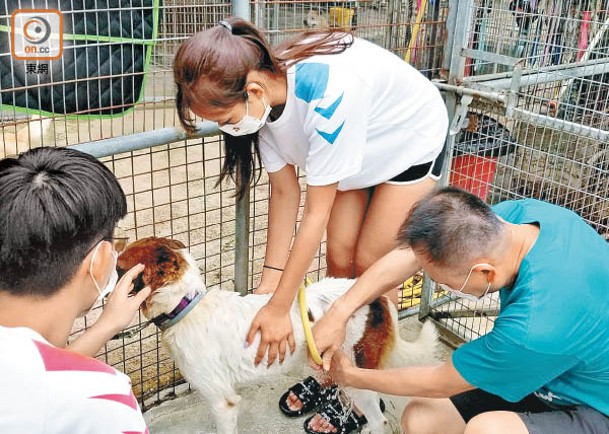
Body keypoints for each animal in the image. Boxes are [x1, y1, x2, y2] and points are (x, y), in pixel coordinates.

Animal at [116, 237, 436, 434]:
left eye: (120, 269)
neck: (186, 306)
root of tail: (378, 299)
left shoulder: (222, 402)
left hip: (354, 374)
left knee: (380, 418)